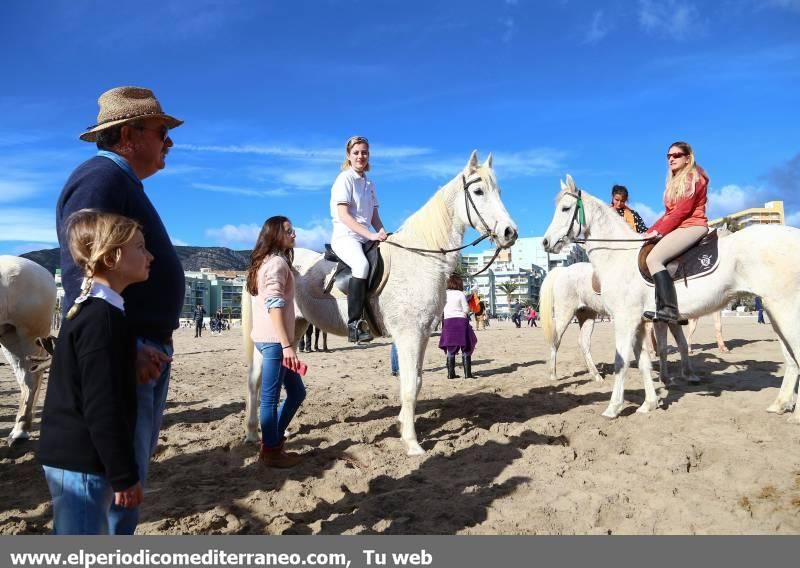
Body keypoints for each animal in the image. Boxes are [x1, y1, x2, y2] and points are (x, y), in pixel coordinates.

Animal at [242, 152, 520, 458]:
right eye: (478, 191)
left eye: (499, 191)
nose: (510, 232)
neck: (421, 257)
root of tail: (267, 259)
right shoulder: (409, 335)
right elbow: (409, 386)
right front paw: (412, 443)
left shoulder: (422, 335)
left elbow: (416, 382)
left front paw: (404, 428)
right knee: (256, 378)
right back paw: (253, 433)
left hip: (296, 326)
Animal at [540, 264, 696, 384]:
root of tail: (564, 270)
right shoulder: (659, 319)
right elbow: (664, 347)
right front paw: (667, 378)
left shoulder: (672, 320)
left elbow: (682, 344)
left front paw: (689, 375)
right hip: (565, 313)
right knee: (556, 340)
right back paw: (553, 374)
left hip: (587, 314)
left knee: (583, 342)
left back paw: (596, 375)